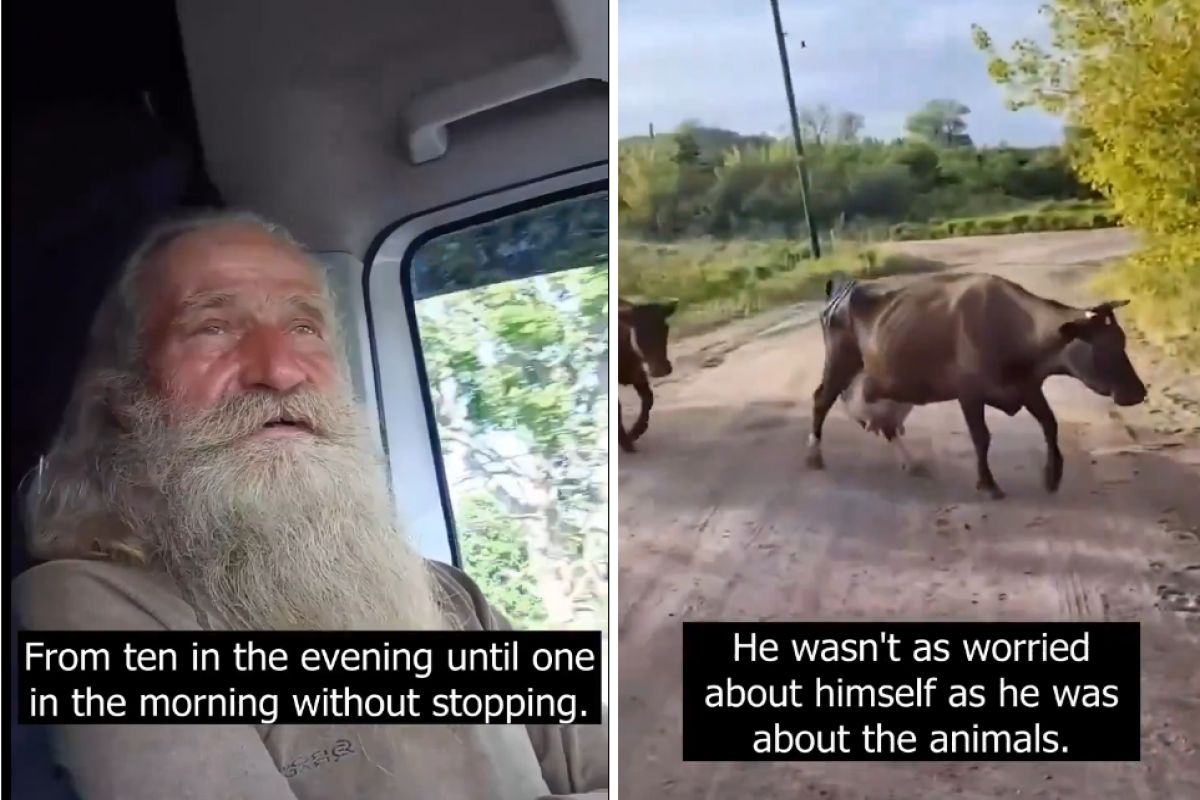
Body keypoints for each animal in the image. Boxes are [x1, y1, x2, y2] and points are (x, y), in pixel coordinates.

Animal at [619, 298, 676, 453]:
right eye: (640, 332)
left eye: (665, 328)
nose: (661, 369)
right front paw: (625, 442)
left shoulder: (637, 373)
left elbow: (648, 399)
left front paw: (634, 433)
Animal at [811, 275, 1147, 501]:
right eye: (1103, 347)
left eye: (1122, 340)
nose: (1139, 392)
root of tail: (844, 286)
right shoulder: (969, 393)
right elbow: (981, 438)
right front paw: (988, 484)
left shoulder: (1026, 387)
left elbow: (1050, 424)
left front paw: (1052, 476)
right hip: (840, 362)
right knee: (821, 400)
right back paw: (814, 456)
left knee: (884, 421)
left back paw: (913, 463)